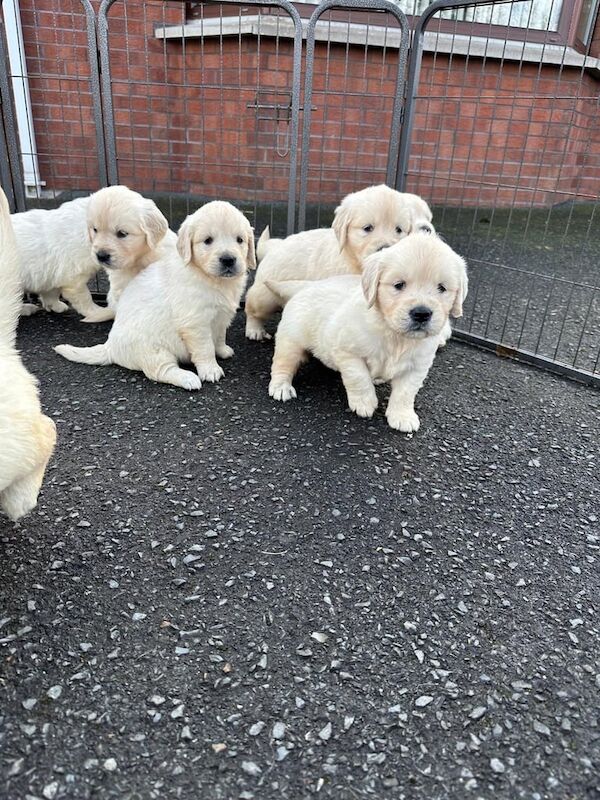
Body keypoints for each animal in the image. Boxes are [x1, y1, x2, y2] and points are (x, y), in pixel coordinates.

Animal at [12, 184, 175, 322]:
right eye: (95, 229)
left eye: (122, 233)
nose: (101, 256)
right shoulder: (73, 278)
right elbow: (84, 298)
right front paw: (97, 312)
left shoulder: (53, 274)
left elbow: (50, 291)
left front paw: (54, 305)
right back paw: (25, 309)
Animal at [58, 199, 258, 388]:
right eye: (208, 240)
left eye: (240, 240)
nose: (228, 259)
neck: (210, 278)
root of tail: (110, 346)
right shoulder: (195, 324)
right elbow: (205, 348)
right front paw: (210, 370)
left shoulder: (222, 317)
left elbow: (219, 336)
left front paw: (222, 350)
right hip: (153, 350)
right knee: (160, 371)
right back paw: (188, 379)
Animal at [245, 185, 436, 340]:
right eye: (367, 228)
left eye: (399, 230)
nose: (384, 248)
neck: (356, 263)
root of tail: (274, 246)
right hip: (263, 296)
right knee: (252, 308)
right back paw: (255, 330)